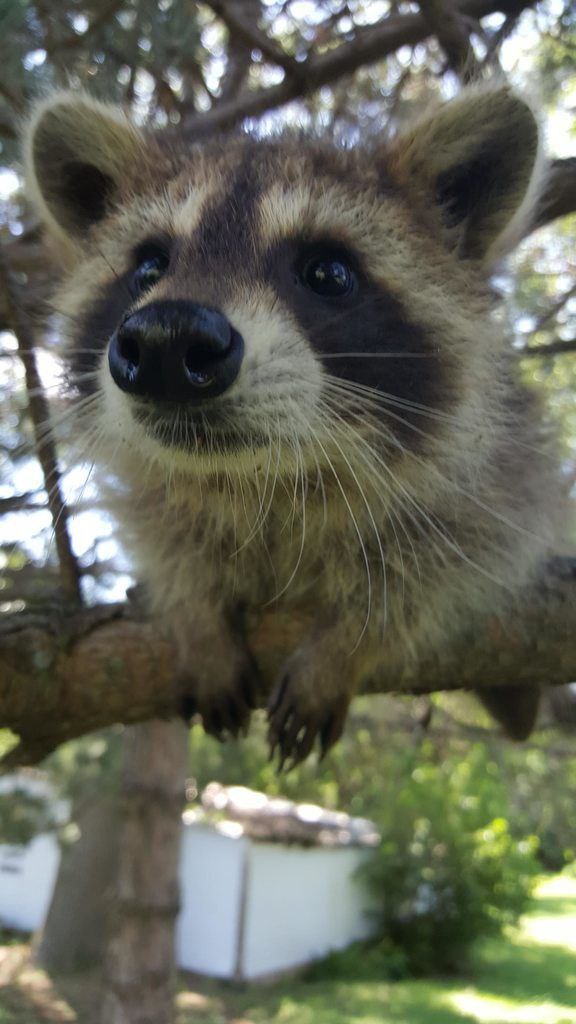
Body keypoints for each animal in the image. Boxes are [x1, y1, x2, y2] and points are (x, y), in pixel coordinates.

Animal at [24, 86, 562, 765]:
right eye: (149, 267)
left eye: (328, 272)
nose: (167, 340)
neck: (263, 479)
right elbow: (164, 535)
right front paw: (193, 610)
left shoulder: (505, 471)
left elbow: (451, 561)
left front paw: (349, 642)